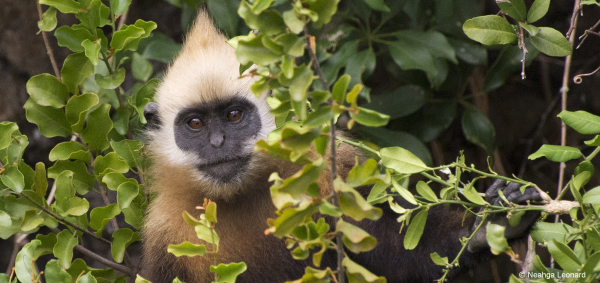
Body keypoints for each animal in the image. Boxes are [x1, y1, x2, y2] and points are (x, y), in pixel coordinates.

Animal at [142, 11, 544, 283]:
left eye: (234, 115)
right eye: (195, 124)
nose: (218, 142)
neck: (237, 195)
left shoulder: (331, 170)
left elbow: (397, 255)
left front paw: (490, 226)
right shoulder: (164, 235)